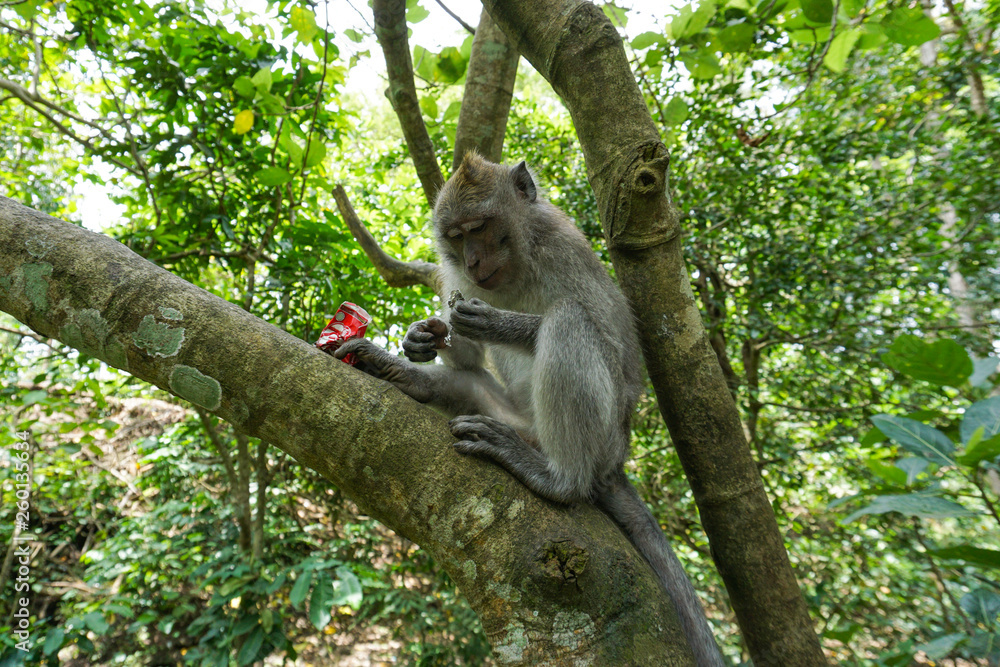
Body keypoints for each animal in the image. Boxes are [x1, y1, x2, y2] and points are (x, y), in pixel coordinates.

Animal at [335, 153, 726, 666]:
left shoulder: (565, 251)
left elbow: (615, 349)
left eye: (480, 227)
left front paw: (498, 323)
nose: (473, 260)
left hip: (603, 437)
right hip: (512, 416)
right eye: (455, 237)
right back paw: (397, 373)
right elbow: (463, 357)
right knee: (471, 384)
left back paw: (558, 478)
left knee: (569, 321)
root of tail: (615, 463)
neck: (519, 262)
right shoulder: (457, 277)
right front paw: (420, 336)